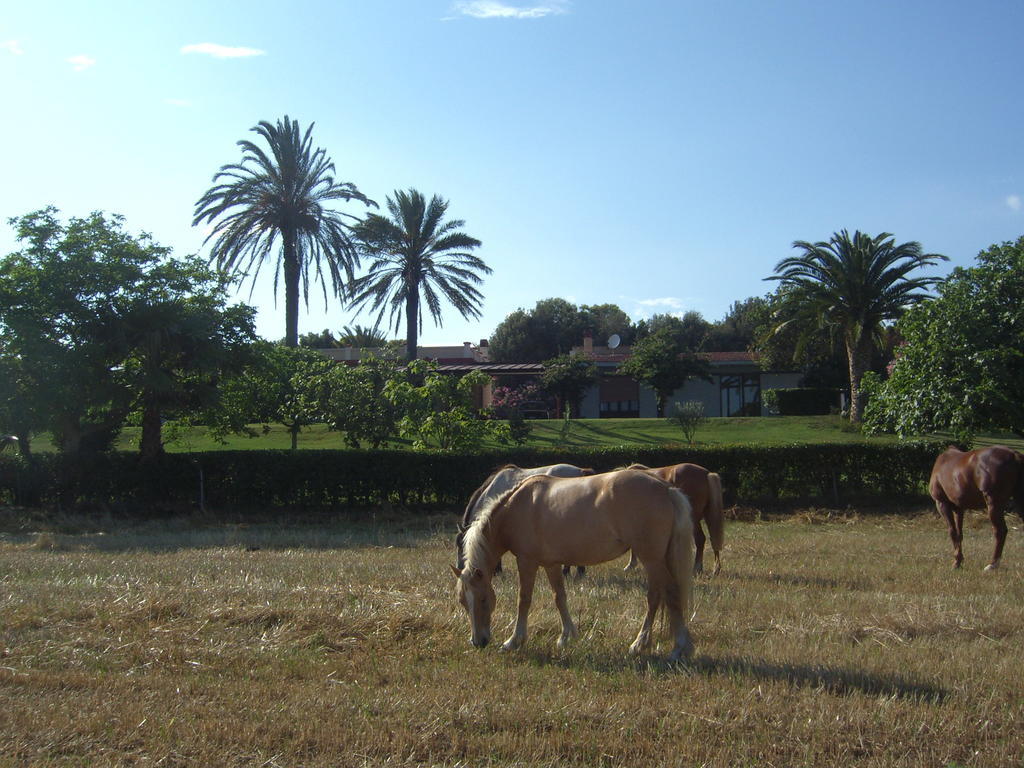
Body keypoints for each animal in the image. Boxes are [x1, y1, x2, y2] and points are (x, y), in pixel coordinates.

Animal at [929, 444, 1024, 573]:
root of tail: (1014, 455)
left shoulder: (942, 504)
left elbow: (952, 532)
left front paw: (956, 562)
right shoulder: (959, 509)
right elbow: (959, 534)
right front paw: (959, 561)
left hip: (994, 504)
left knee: (1000, 531)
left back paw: (992, 564)